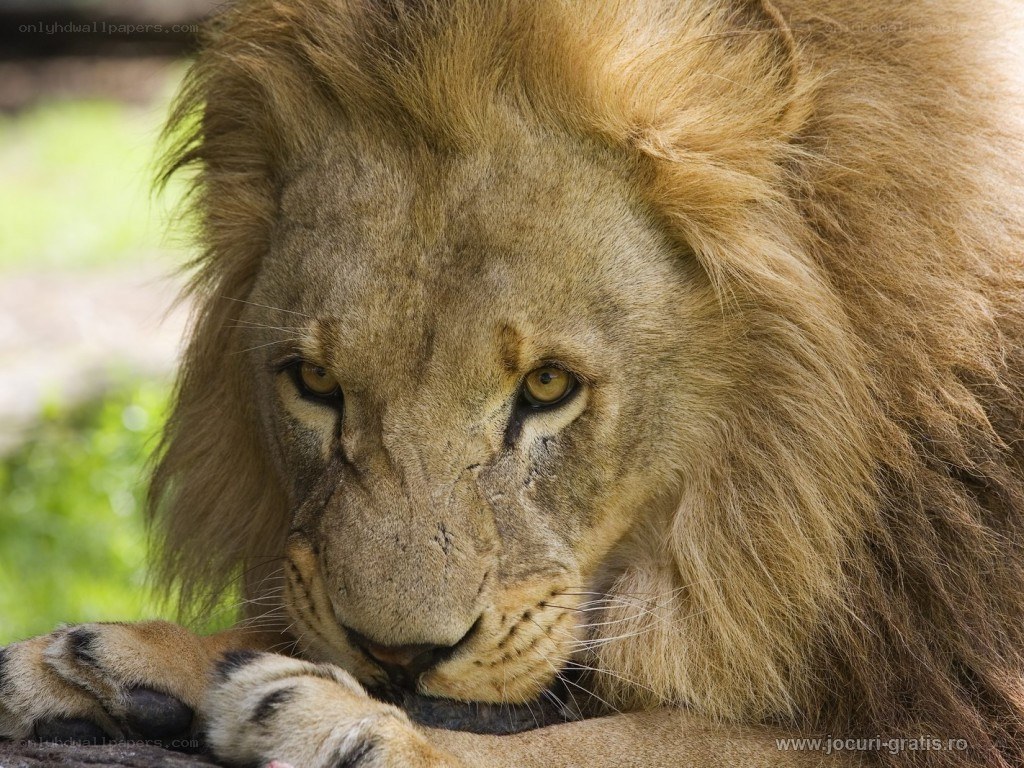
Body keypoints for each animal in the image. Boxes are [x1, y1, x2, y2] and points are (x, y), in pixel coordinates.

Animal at [2, 0, 1024, 766]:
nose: (396, 658)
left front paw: (347, 724)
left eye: (547, 386)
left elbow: (634, 742)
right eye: (315, 381)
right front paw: (115, 659)